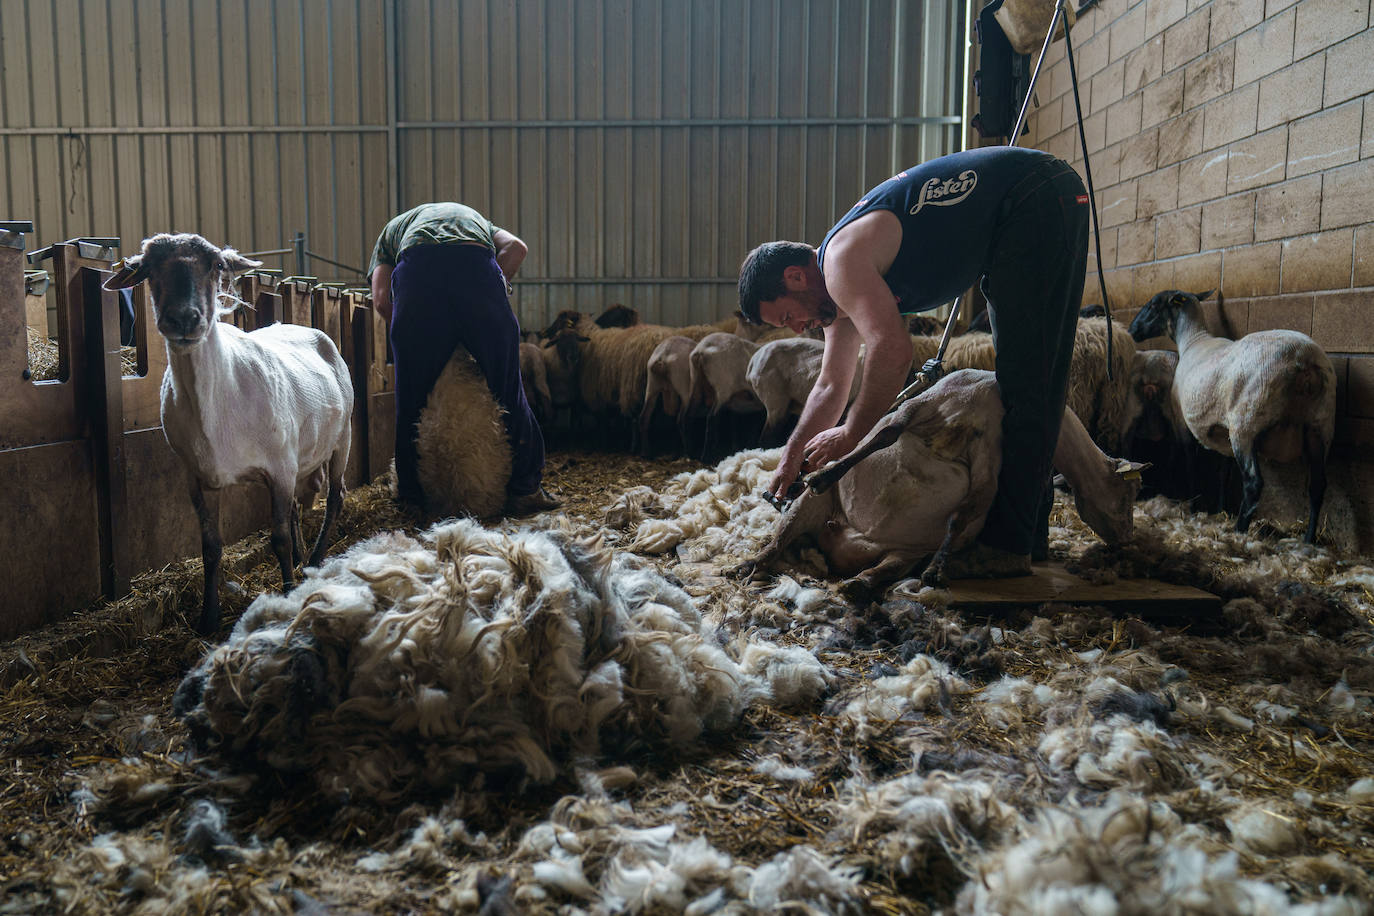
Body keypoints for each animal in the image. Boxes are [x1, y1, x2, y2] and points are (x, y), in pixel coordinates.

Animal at [1126, 289, 1330, 541]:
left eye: (1153, 304)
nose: (1132, 330)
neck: (1193, 339)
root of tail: (1305, 363)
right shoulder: (1223, 433)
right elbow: (1224, 472)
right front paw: (1221, 508)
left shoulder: (1182, 422)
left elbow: (1190, 464)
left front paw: (1193, 505)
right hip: (1320, 428)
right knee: (1317, 486)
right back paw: (1309, 539)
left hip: (1246, 424)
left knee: (1253, 483)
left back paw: (1240, 530)